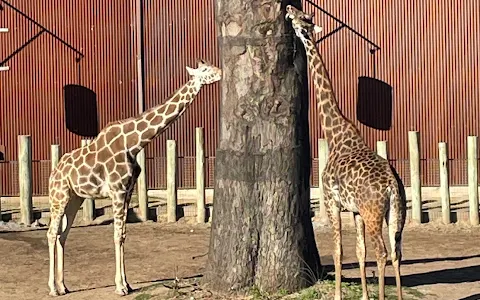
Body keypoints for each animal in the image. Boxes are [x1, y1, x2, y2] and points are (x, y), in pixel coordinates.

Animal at [46, 58, 222, 296]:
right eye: (204, 70)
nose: (220, 72)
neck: (135, 143)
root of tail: (53, 173)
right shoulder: (117, 190)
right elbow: (116, 235)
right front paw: (120, 287)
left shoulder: (128, 191)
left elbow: (123, 235)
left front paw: (127, 283)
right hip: (59, 197)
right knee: (51, 233)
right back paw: (52, 288)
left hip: (75, 198)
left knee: (62, 234)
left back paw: (63, 286)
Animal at [286, 5, 406, 300]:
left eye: (303, 18)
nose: (289, 8)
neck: (336, 132)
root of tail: (392, 186)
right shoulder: (355, 211)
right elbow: (359, 252)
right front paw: (363, 295)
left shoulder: (332, 202)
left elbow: (339, 251)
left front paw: (340, 295)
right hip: (397, 214)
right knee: (396, 253)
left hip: (374, 214)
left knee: (382, 253)